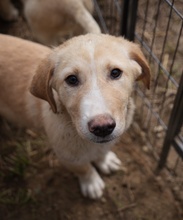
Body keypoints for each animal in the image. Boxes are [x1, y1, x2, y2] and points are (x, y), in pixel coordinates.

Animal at [0, 33, 150, 199]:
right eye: (71, 79)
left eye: (115, 73)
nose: (102, 127)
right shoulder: (67, 156)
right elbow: (84, 168)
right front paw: (91, 183)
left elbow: (101, 151)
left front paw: (105, 161)